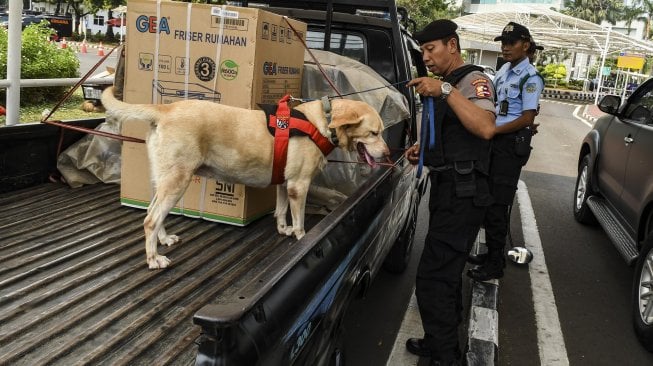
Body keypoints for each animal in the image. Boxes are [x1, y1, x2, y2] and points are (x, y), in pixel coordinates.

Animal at [102, 87, 388, 268]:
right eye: (373, 133)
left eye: (381, 132)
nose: (388, 154)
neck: (323, 121)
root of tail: (166, 108)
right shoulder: (299, 185)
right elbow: (299, 221)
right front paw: (300, 237)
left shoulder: (285, 183)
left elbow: (280, 210)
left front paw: (282, 229)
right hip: (177, 181)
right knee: (150, 220)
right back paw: (153, 259)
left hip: (165, 180)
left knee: (153, 212)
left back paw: (163, 240)